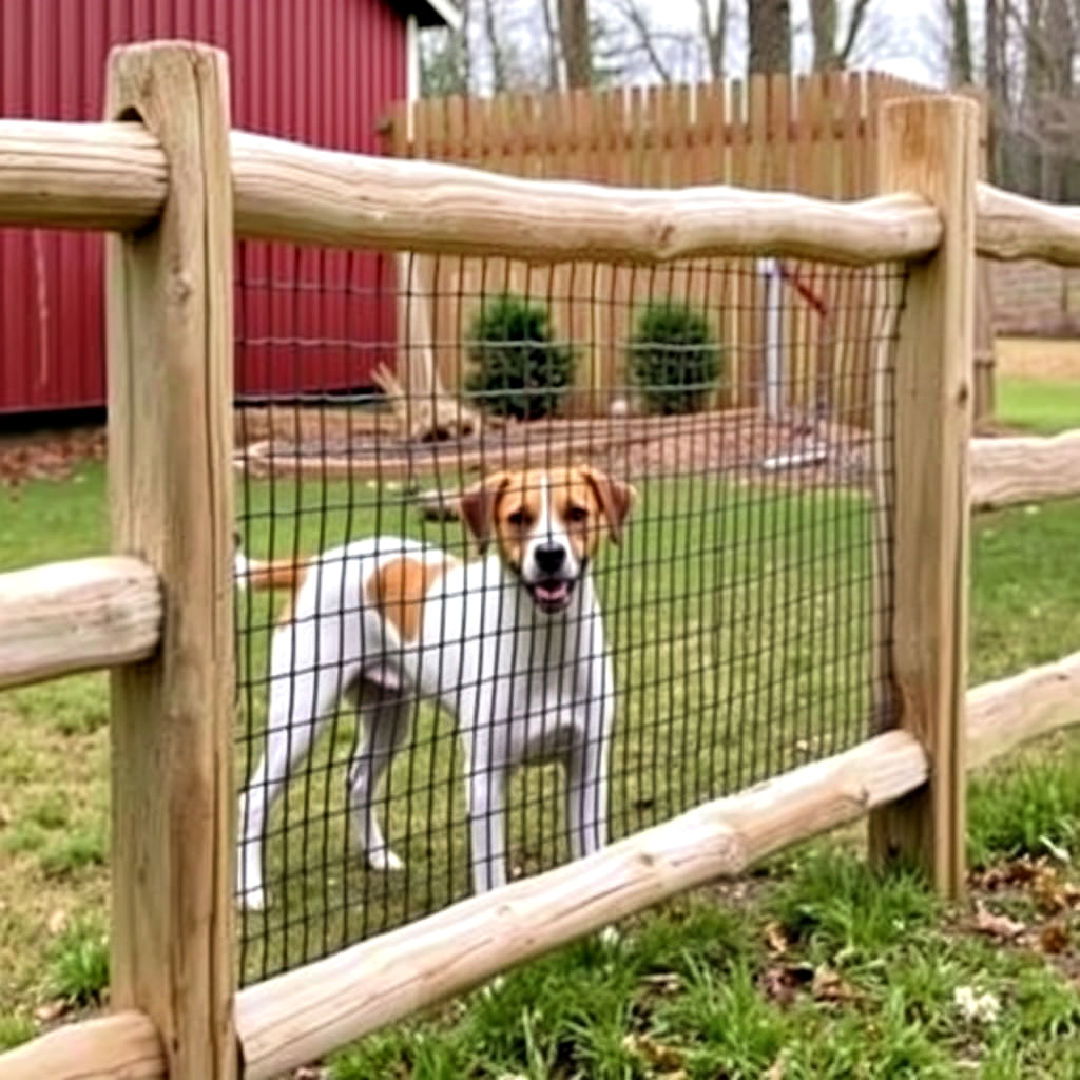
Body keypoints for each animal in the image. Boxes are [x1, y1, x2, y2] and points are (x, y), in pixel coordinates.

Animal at [234, 464, 630, 911]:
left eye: (577, 513)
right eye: (518, 518)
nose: (549, 554)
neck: (548, 643)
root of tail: (316, 563)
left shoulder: (587, 767)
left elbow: (594, 863)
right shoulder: (484, 779)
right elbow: (493, 880)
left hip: (389, 717)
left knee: (359, 781)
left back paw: (377, 856)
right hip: (300, 718)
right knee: (252, 799)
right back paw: (250, 891)